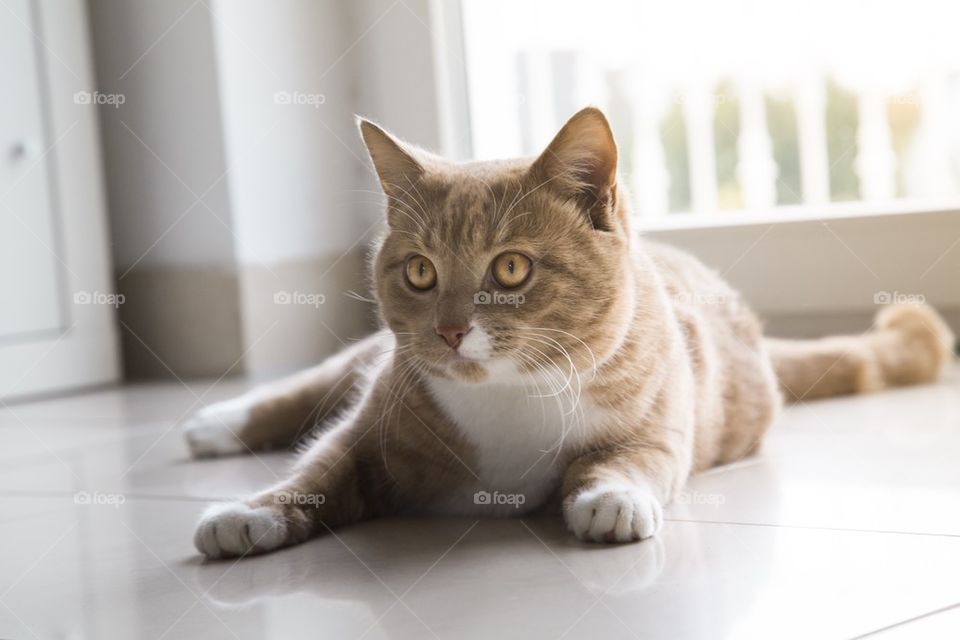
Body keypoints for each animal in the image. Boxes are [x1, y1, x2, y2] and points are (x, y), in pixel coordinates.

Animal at [184, 107, 956, 556]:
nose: (451, 330)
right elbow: (318, 467)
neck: (508, 398)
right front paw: (252, 513)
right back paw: (215, 423)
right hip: (372, 362)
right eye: (421, 273)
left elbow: (629, 458)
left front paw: (609, 496)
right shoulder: (373, 425)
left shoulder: (659, 426)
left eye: (511, 267)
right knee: (306, 392)